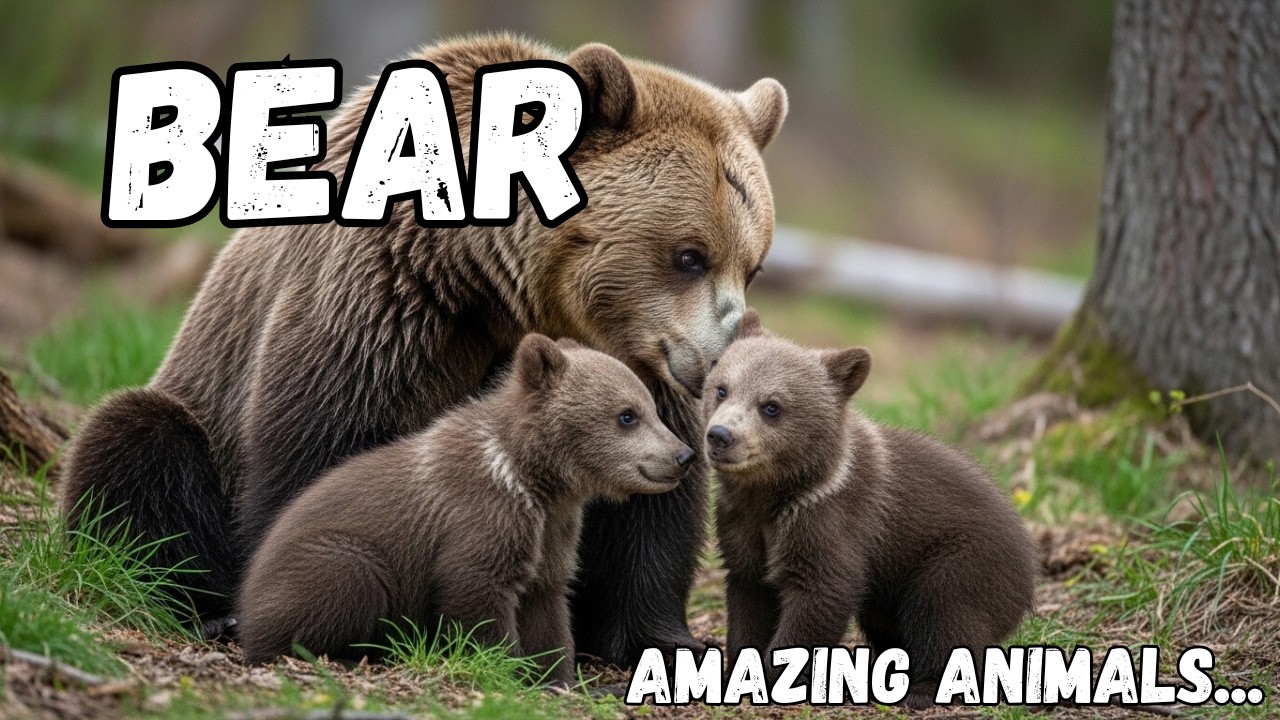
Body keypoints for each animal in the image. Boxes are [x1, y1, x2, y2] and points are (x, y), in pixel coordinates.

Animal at [235, 334, 693, 684]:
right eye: (627, 415)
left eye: (652, 408)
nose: (683, 455)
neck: (534, 479)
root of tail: (250, 578)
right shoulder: (481, 516)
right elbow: (475, 592)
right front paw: (502, 668)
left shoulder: (552, 533)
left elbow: (547, 607)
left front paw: (556, 678)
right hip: (334, 556)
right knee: (341, 584)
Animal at [704, 311, 1037, 708]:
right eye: (722, 388)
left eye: (772, 406)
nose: (720, 436)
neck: (774, 495)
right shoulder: (742, 526)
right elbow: (749, 596)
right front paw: (735, 674)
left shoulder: (829, 519)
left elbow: (821, 592)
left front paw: (775, 677)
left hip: (962, 560)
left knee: (945, 613)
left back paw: (923, 689)